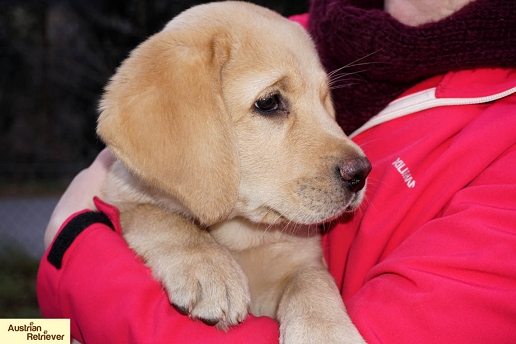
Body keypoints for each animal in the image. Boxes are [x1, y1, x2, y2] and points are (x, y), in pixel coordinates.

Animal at [97, 1, 368, 342]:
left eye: (323, 101)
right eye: (269, 102)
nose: (362, 173)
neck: (237, 231)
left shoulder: (301, 257)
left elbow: (313, 280)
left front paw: (326, 330)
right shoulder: (120, 197)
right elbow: (158, 216)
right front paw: (209, 268)